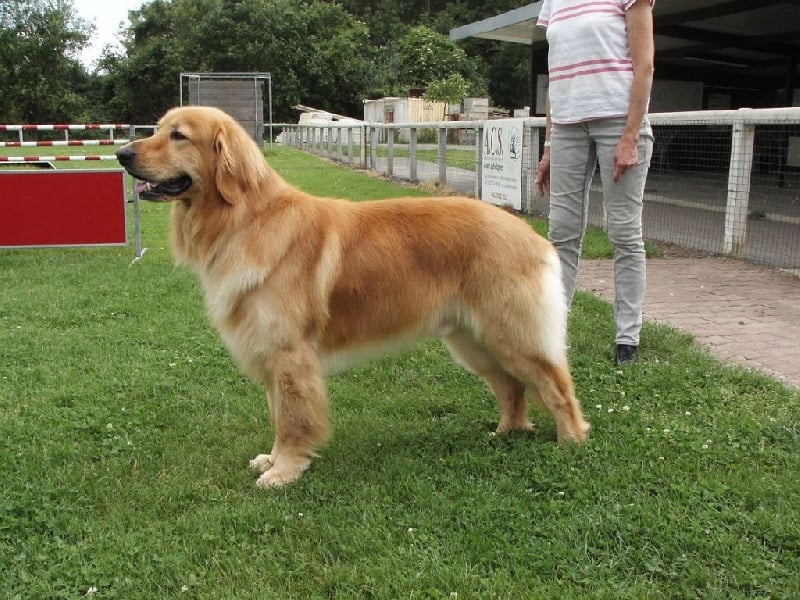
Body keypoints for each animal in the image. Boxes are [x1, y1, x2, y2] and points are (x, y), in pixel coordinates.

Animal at [115, 106, 592, 488]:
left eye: (178, 135)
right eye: (158, 129)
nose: (122, 154)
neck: (243, 219)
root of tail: (533, 235)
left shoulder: (290, 354)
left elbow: (292, 420)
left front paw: (284, 471)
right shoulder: (272, 353)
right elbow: (278, 415)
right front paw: (272, 459)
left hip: (512, 335)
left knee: (556, 387)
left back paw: (571, 442)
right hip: (472, 341)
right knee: (512, 388)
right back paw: (507, 432)